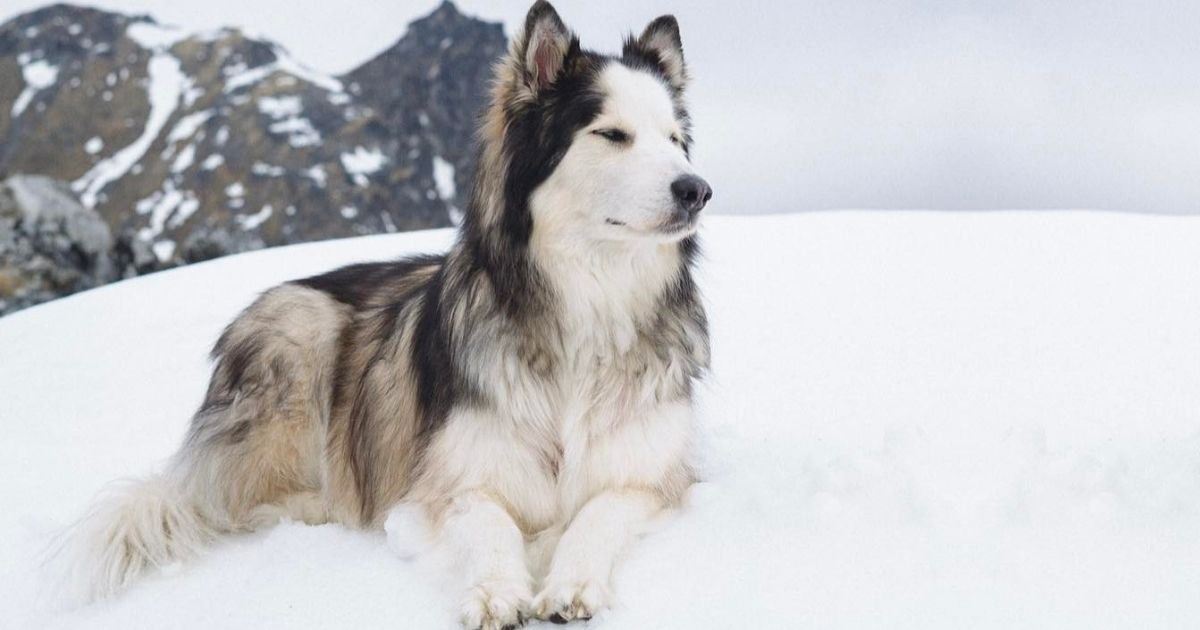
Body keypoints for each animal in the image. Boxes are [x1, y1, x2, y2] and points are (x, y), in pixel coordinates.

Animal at [65, 3, 710, 624]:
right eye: (612, 134)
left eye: (675, 139)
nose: (697, 190)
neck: (586, 306)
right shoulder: (453, 479)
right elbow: (487, 522)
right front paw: (495, 591)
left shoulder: (650, 477)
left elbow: (599, 513)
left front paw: (571, 580)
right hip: (298, 328)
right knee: (234, 501)